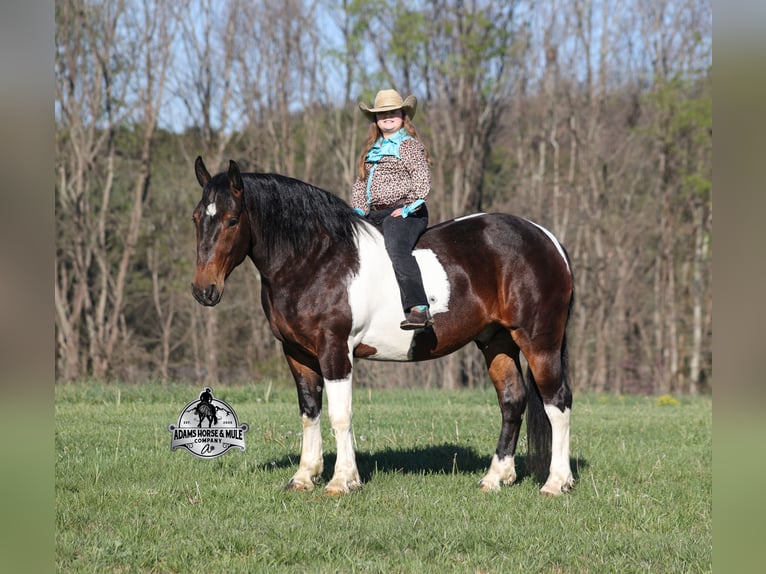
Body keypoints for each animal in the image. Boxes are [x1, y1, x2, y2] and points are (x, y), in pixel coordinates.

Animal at [191, 157, 575, 496]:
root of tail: (547, 239)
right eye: (196, 218)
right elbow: (309, 412)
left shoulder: (335, 350)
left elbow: (340, 415)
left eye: (232, 220)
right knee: (512, 400)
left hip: (539, 341)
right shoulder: (297, 353)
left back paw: (556, 483)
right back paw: (495, 478)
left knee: (557, 402)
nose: (203, 290)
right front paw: (304, 477)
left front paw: (341, 481)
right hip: (496, 341)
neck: (317, 259)